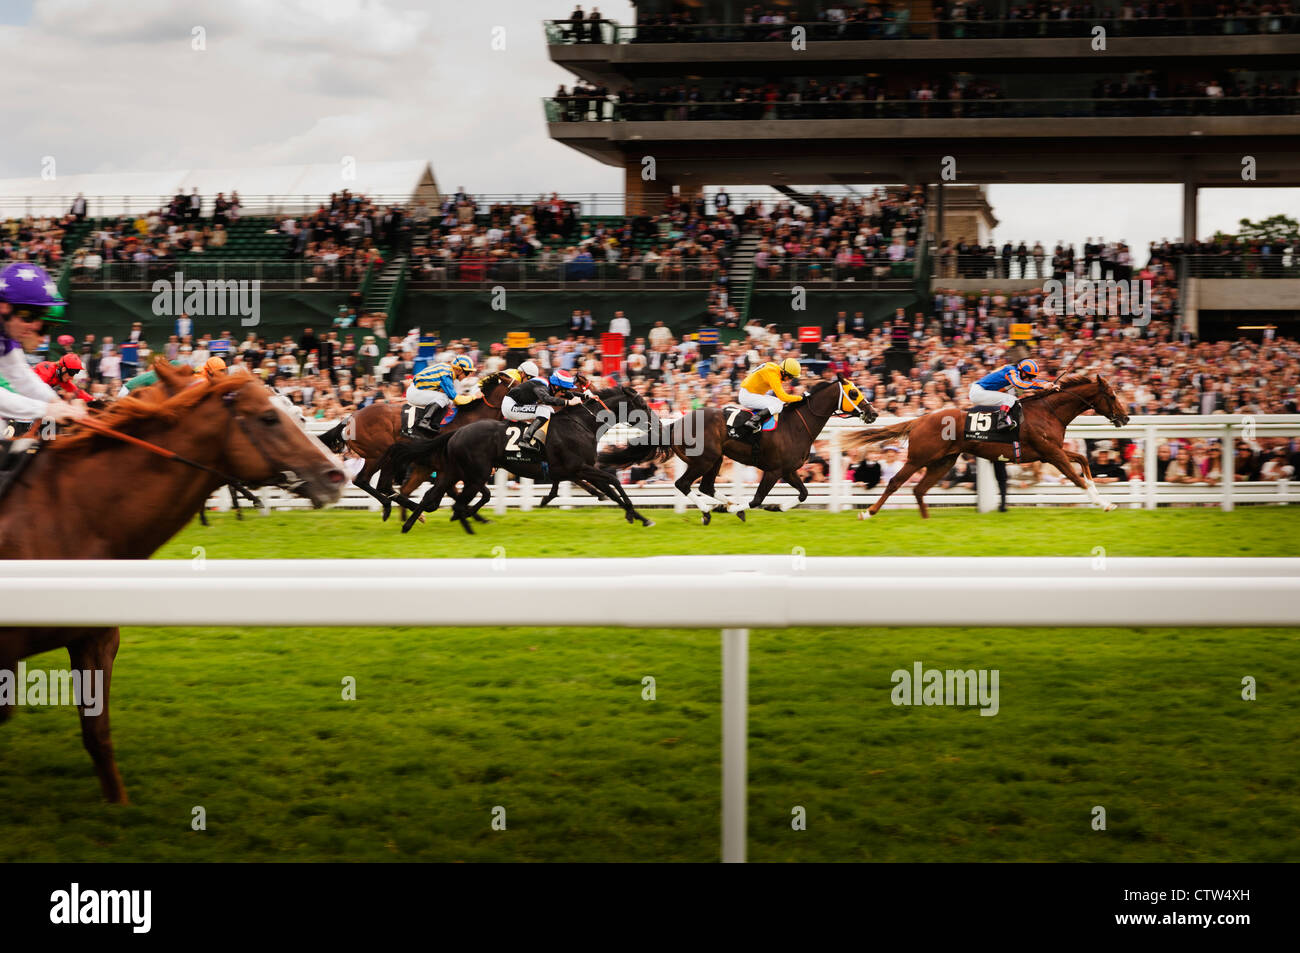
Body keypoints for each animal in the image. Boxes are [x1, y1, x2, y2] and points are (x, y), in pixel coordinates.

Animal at [0, 361, 345, 800]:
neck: (67, 513)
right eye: (269, 417)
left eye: (296, 412)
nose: (335, 475)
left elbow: (98, 737)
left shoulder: (94, 640)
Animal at [317, 371, 514, 520]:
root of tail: (350, 418)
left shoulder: (433, 467)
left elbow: (470, 494)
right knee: (374, 483)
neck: (469, 419)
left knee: (375, 483)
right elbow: (475, 493)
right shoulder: (453, 467)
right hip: (381, 454)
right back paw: (392, 507)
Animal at [847, 374, 1133, 520]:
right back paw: (868, 513)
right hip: (918, 459)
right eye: (1112, 396)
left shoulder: (1051, 452)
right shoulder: (1052, 454)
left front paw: (1102, 494)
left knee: (919, 489)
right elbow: (1077, 478)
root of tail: (919, 420)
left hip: (943, 462)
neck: (1048, 411)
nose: (1126, 418)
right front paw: (1104, 503)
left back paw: (926, 519)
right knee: (895, 482)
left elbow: (1083, 462)